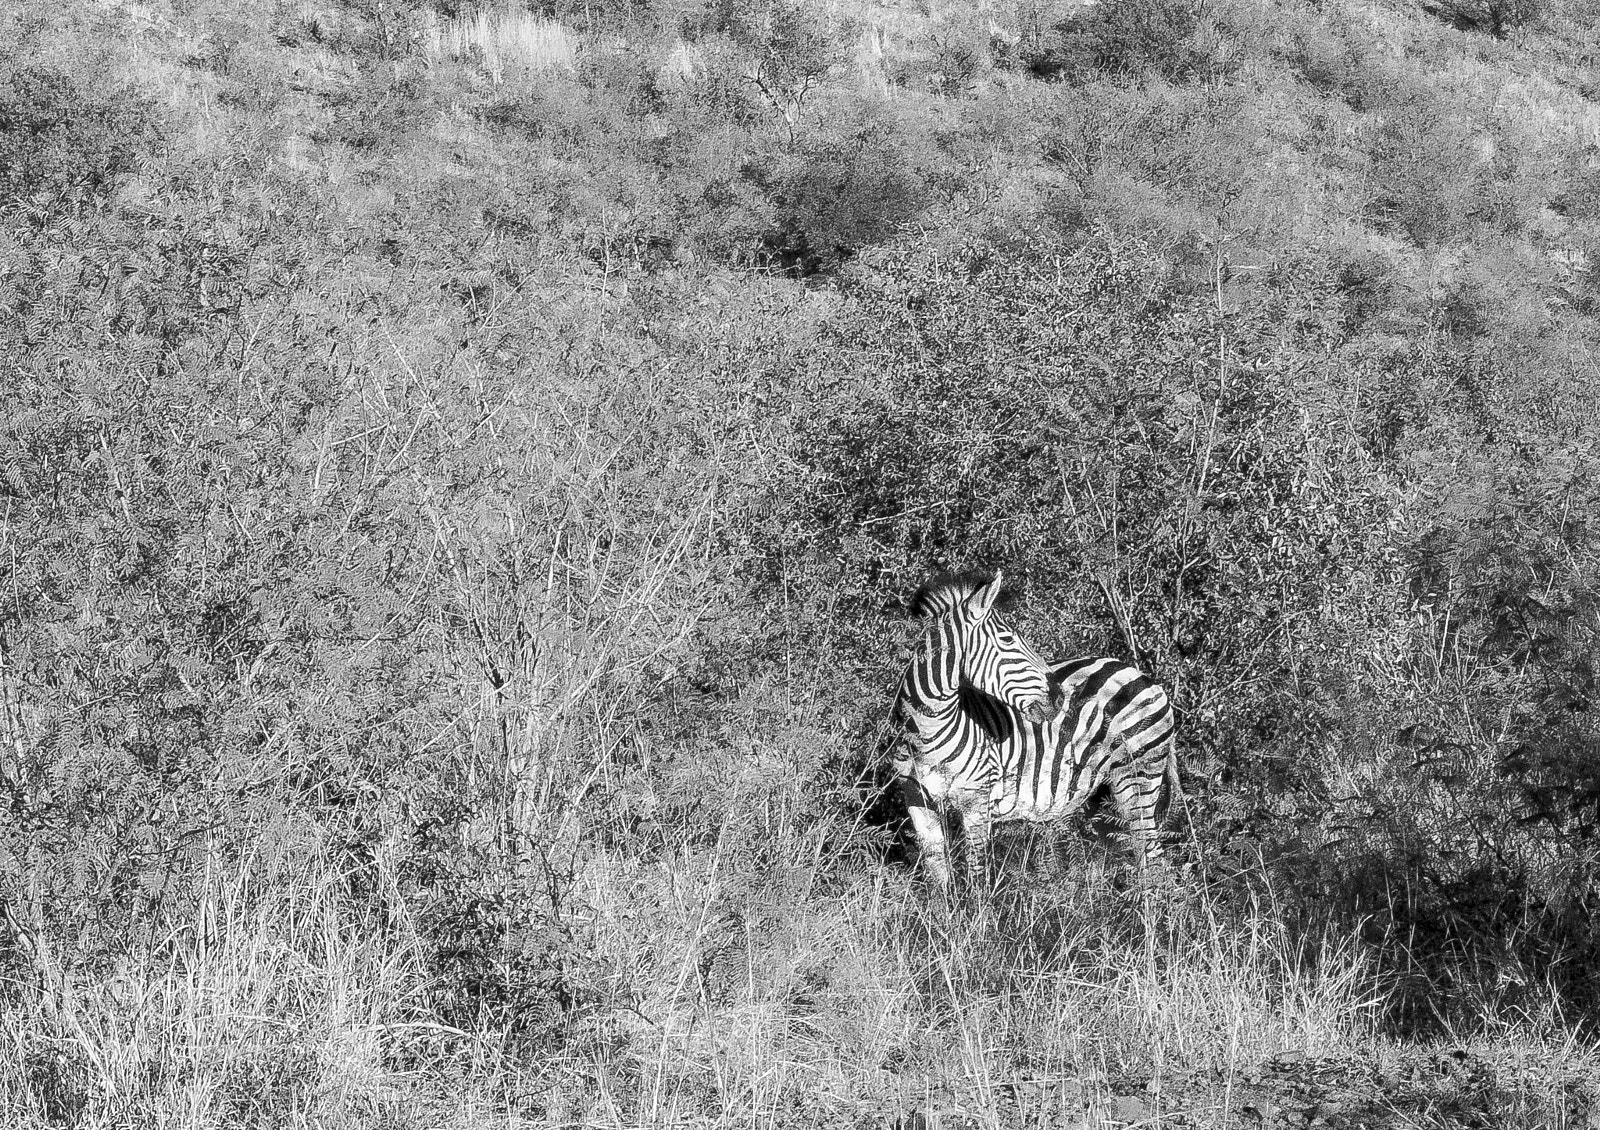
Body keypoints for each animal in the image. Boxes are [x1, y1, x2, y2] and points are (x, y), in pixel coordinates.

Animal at [893, 571, 1179, 887]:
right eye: (1007, 640)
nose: (1059, 698)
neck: (926, 730)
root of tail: (1146, 678)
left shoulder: (977, 801)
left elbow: (978, 875)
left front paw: (978, 902)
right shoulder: (916, 798)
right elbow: (937, 870)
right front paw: (944, 900)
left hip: (1138, 778)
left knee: (1152, 858)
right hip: (1103, 793)